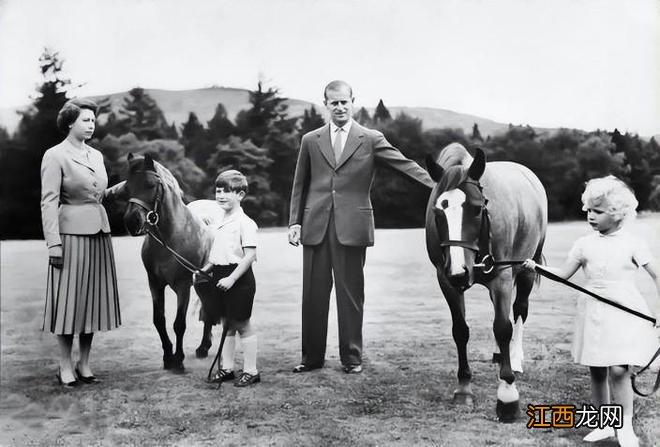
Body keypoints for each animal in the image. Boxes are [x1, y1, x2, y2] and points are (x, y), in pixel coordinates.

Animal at [122, 156, 215, 372]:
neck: (171, 237)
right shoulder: (155, 284)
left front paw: (178, 359)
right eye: (128, 187)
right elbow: (159, 320)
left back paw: (204, 348)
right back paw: (204, 346)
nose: (131, 222)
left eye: (150, 185)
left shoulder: (183, 286)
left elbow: (179, 324)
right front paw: (167, 356)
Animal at [426, 144, 548, 424]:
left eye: (476, 209)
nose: (459, 272)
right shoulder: (445, 279)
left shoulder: (502, 275)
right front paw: (463, 389)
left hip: (525, 268)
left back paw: (514, 358)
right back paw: (500, 354)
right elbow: (460, 330)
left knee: (519, 310)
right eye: (438, 212)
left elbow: (503, 327)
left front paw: (507, 395)